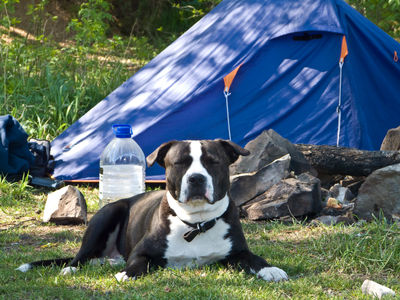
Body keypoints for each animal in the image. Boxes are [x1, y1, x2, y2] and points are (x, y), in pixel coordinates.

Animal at [17, 139, 288, 282]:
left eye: (213, 162)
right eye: (179, 163)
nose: (197, 179)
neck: (196, 223)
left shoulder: (238, 253)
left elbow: (255, 259)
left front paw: (270, 269)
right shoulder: (142, 253)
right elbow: (140, 264)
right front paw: (127, 274)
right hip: (107, 215)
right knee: (80, 256)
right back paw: (73, 267)